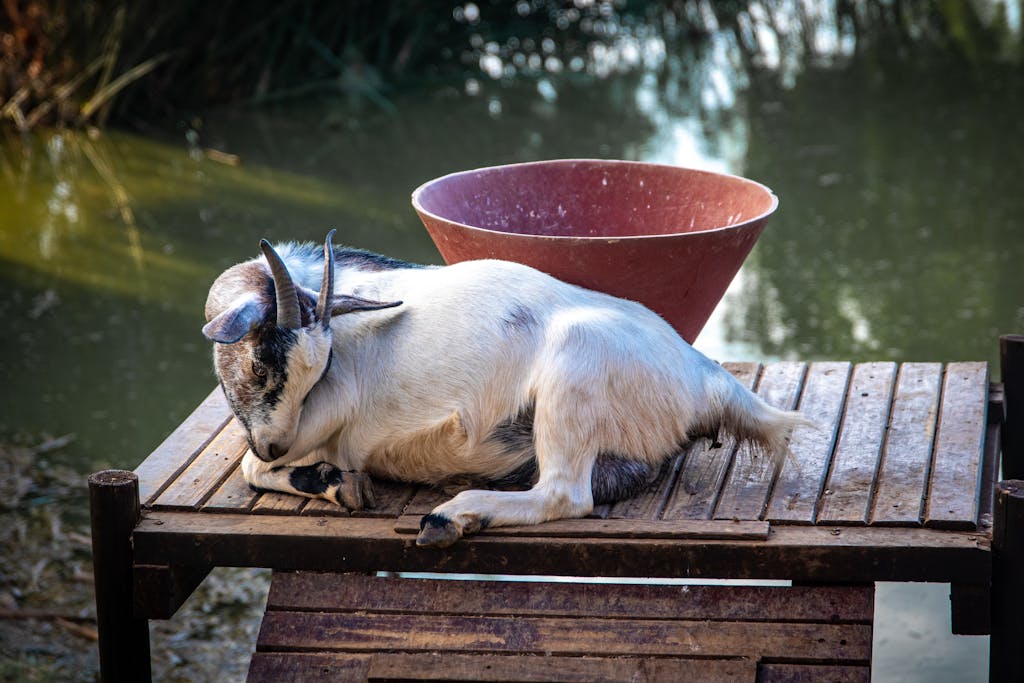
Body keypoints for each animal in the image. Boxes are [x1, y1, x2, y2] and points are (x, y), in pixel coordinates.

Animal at [202, 230, 811, 547]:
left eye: (262, 363)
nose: (275, 444)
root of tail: (704, 375)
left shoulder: (323, 418)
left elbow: (249, 467)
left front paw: (336, 483)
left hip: (572, 373)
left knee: (567, 493)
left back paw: (451, 516)